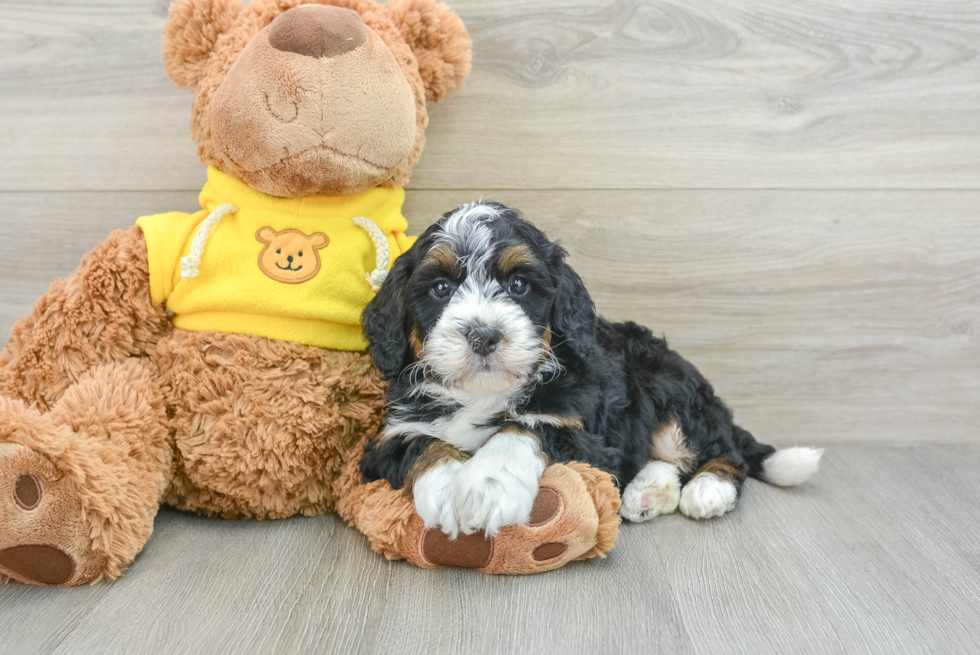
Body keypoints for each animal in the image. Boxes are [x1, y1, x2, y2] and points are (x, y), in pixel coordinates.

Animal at [360, 201, 820, 540]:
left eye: (518, 285)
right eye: (441, 288)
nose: (484, 335)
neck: (484, 392)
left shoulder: (587, 436)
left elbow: (527, 425)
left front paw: (488, 485)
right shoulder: (388, 437)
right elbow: (422, 443)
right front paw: (444, 488)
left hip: (666, 385)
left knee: (723, 451)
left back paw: (709, 489)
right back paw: (647, 493)